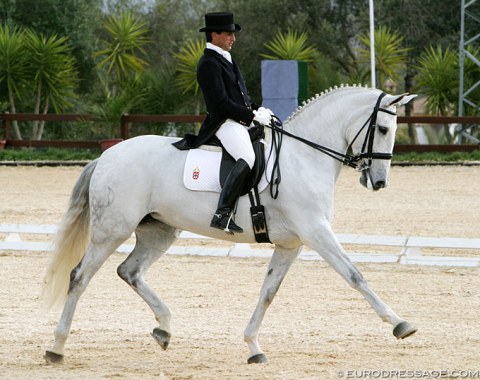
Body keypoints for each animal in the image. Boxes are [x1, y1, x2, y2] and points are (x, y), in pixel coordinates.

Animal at [42, 84, 416, 364]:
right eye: (384, 129)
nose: (379, 182)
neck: (304, 157)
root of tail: (107, 156)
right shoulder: (316, 232)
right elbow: (355, 275)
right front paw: (400, 324)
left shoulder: (291, 244)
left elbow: (268, 293)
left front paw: (253, 347)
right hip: (111, 230)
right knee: (79, 277)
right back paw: (56, 347)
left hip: (159, 231)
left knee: (129, 271)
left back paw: (164, 328)